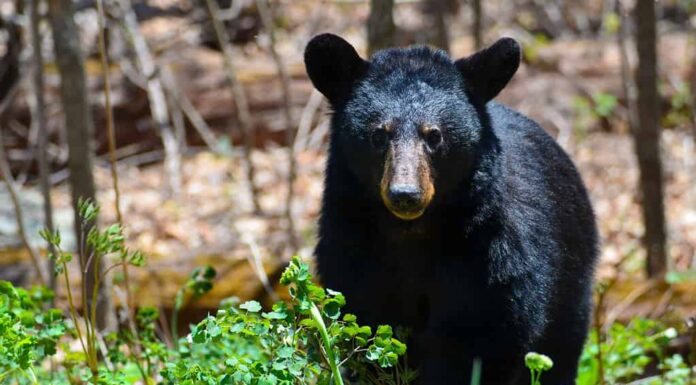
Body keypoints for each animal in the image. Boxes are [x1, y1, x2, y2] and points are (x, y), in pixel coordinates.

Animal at [308, 33, 600, 384]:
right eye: (378, 134)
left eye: (434, 135)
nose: (405, 194)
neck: (410, 234)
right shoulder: (351, 249)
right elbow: (366, 325)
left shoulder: (490, 259)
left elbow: (477, 340)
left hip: (572, 281)